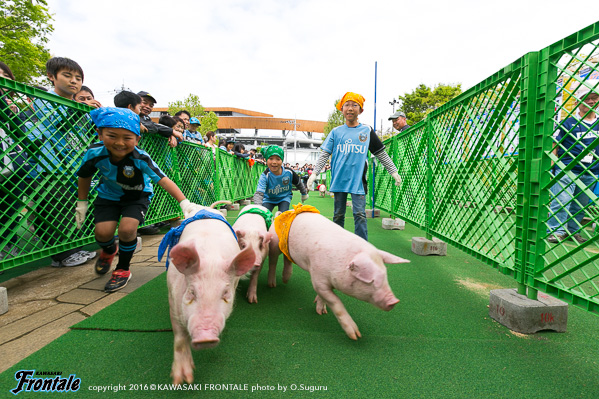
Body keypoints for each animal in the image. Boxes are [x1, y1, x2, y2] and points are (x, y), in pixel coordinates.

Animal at [165, 203, 256, 384]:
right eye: (191, 292)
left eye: (226, 293)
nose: (205, 337)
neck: (210, 258)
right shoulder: (172, 297)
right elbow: (179, 338)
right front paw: (182, 381)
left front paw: (186, 380)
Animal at [284, 212, 410, 340]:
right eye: (372, 280)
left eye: (385, 275)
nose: (395, 301)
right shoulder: (318, 280)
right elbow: (336, 302)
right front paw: (355, 336)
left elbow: (323, 298)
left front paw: (322, 311)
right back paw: (285, 280)